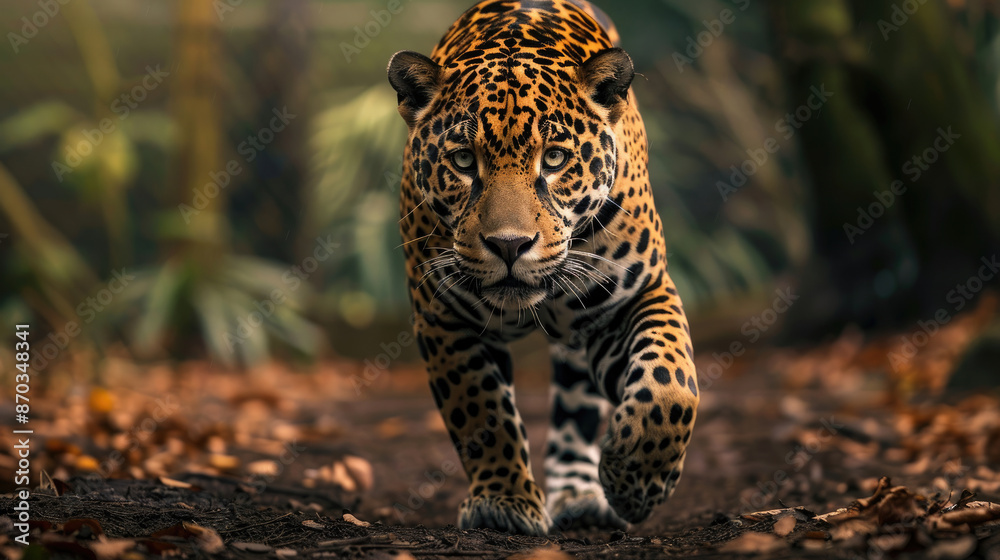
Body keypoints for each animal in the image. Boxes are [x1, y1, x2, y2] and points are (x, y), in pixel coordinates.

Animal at [387, 0, 699, 536]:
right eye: (463, 160)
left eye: (553, 159)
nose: (509, 245)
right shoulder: (442, 316)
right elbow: (481, 410)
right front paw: (503, 500)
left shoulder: (637, 295)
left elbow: (671, 384)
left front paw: (636, 481)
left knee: (578, 408)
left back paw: (581, 496)